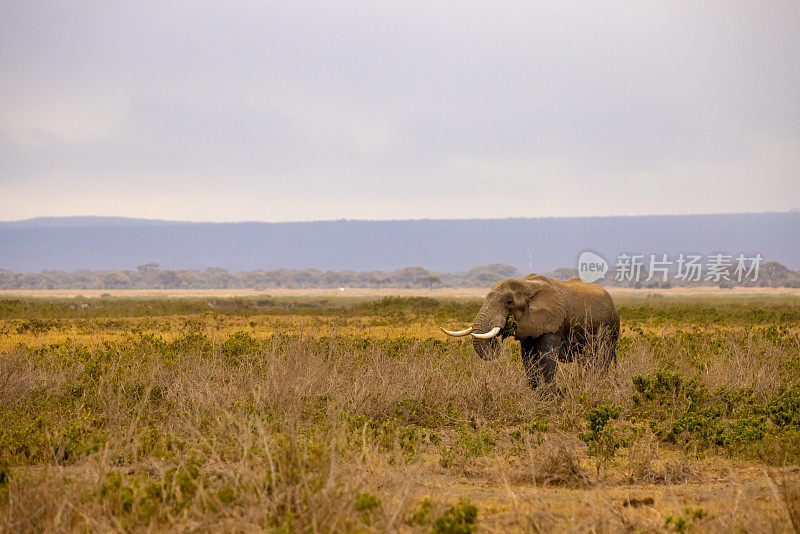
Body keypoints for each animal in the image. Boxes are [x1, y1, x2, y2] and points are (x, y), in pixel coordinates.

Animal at [444, 276, 620, 390]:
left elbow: (546, 358)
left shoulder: (553, 322)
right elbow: (528, 360)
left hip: (610, 329)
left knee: (599, 359)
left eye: (509, 302)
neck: (527, 284)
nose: (495, 344)